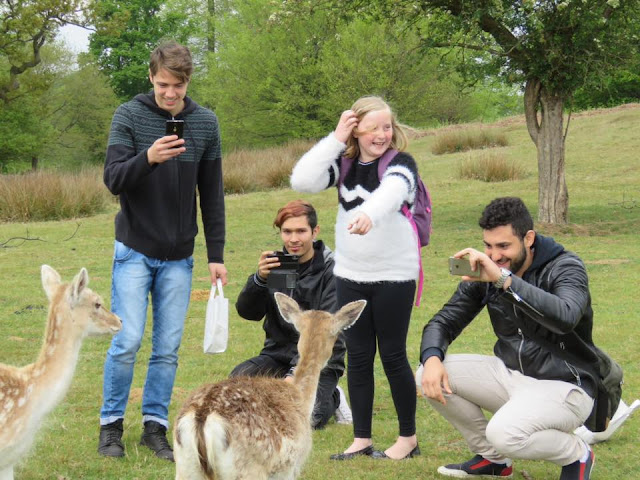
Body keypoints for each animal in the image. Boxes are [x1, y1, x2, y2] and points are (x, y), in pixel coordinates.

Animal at [174, 292, 364, 480]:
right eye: (337, 334)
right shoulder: (290, 468)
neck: (302, 399)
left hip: (185, 466)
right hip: (248, 469)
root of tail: (203, 417)